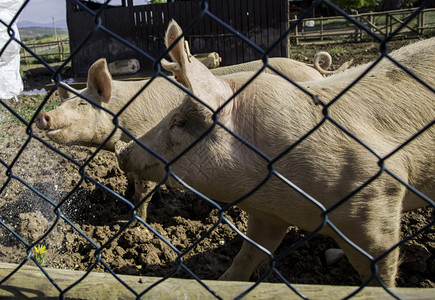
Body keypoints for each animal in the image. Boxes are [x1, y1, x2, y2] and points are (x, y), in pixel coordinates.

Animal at [116, 19, 435, 288]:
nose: (122, 151)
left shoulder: (375, 201)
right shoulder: (269, 216)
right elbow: (249, 255)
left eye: (179, 122)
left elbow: (379, 270)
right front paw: (224, 281)